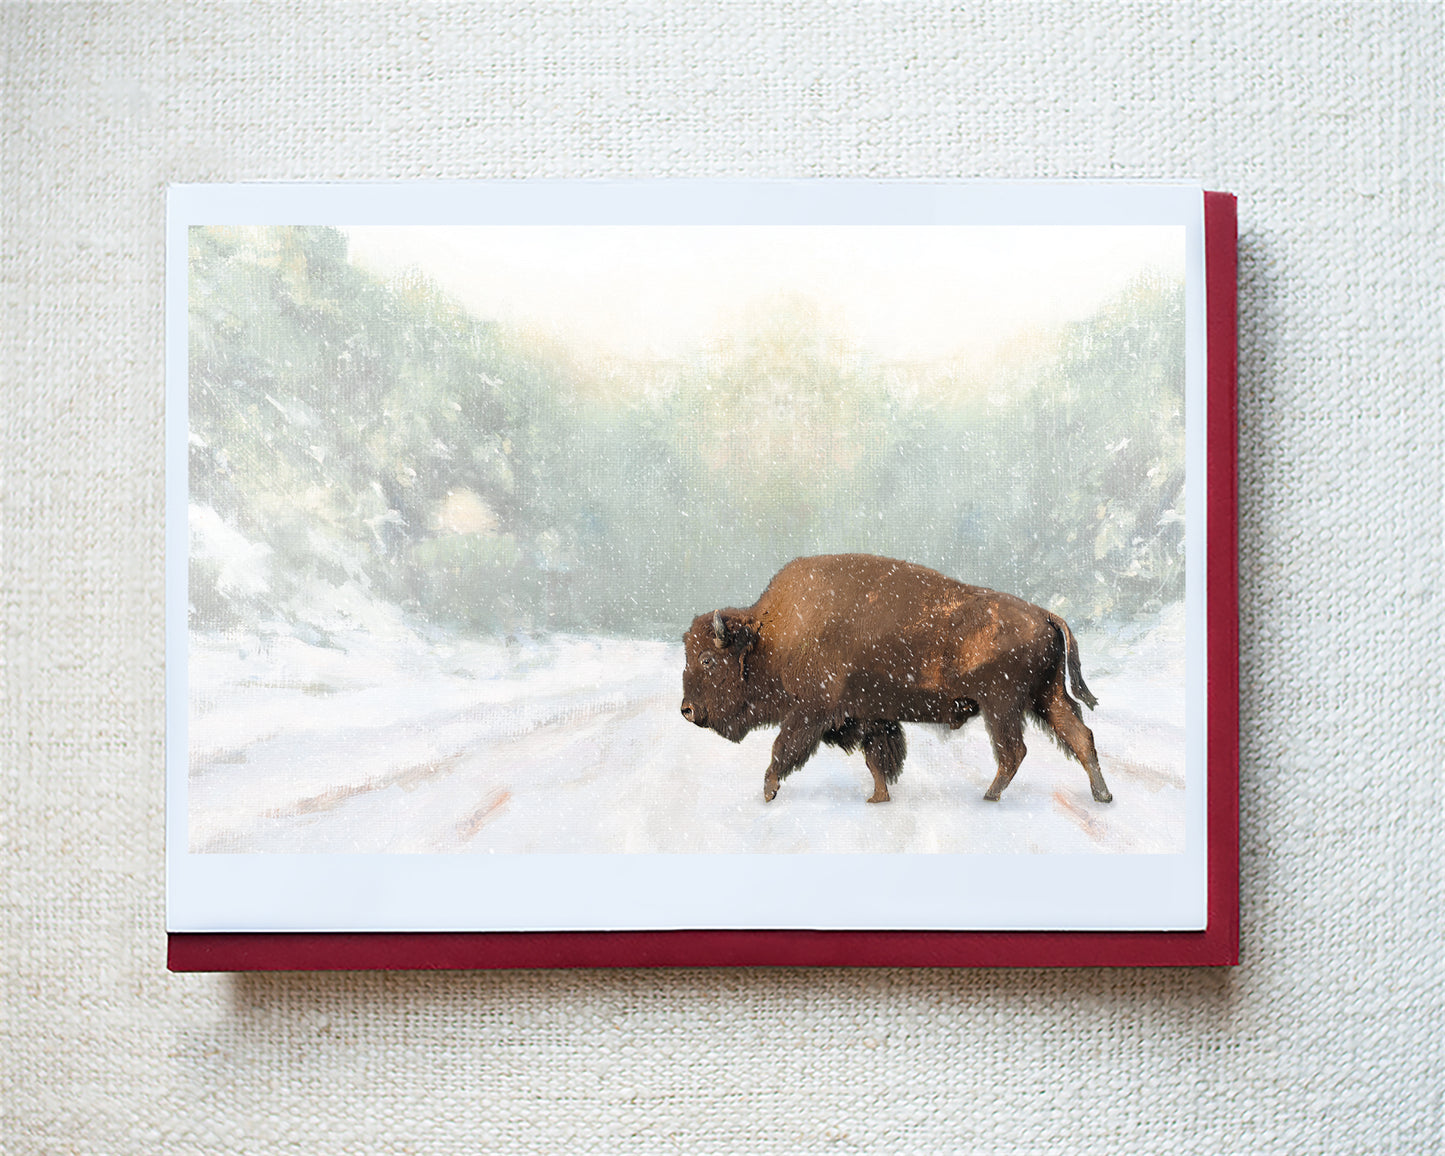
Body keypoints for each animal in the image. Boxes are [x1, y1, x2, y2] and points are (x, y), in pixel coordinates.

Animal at [680, 554, 1112, 805]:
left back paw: (989, 796)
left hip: (1002, 704)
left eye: (707, 659)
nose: (686, 710)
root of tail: (1045, 614)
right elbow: (877, 758)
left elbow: (782, 749)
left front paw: (768, 792)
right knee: (1079, 736)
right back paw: (1103, 795)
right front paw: (879, 798)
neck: (770, 634)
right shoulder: (871, 716)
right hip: (1045, 697)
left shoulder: (810, 712)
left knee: (1014, 750)